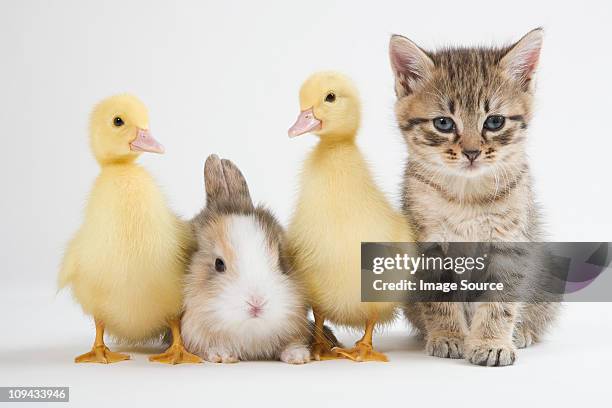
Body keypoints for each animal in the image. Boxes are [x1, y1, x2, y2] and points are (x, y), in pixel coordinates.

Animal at [390, 29, 556, 366]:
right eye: (443, 123)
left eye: (494, 121)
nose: (471, 152)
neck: (466, 196)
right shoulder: (428, 241)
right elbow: (438, 296)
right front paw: (448, 336)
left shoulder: (509, 242)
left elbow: (500, 300)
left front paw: (491, 342)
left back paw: (522, 332)